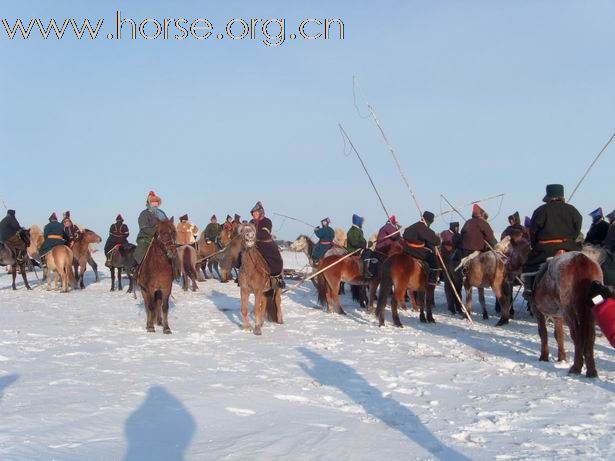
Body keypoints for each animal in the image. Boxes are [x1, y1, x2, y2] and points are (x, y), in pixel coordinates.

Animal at [532, 248, 604, 378]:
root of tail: (581, 260)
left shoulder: (538, 311)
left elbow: (543, 333)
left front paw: (544, 356)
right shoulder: (557, 316)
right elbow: (559, 335)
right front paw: (562, 358)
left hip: (569, 310)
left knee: (577, 335)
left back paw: (576, 367)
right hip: (588, 311)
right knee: (590, 336)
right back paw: (591, 371)